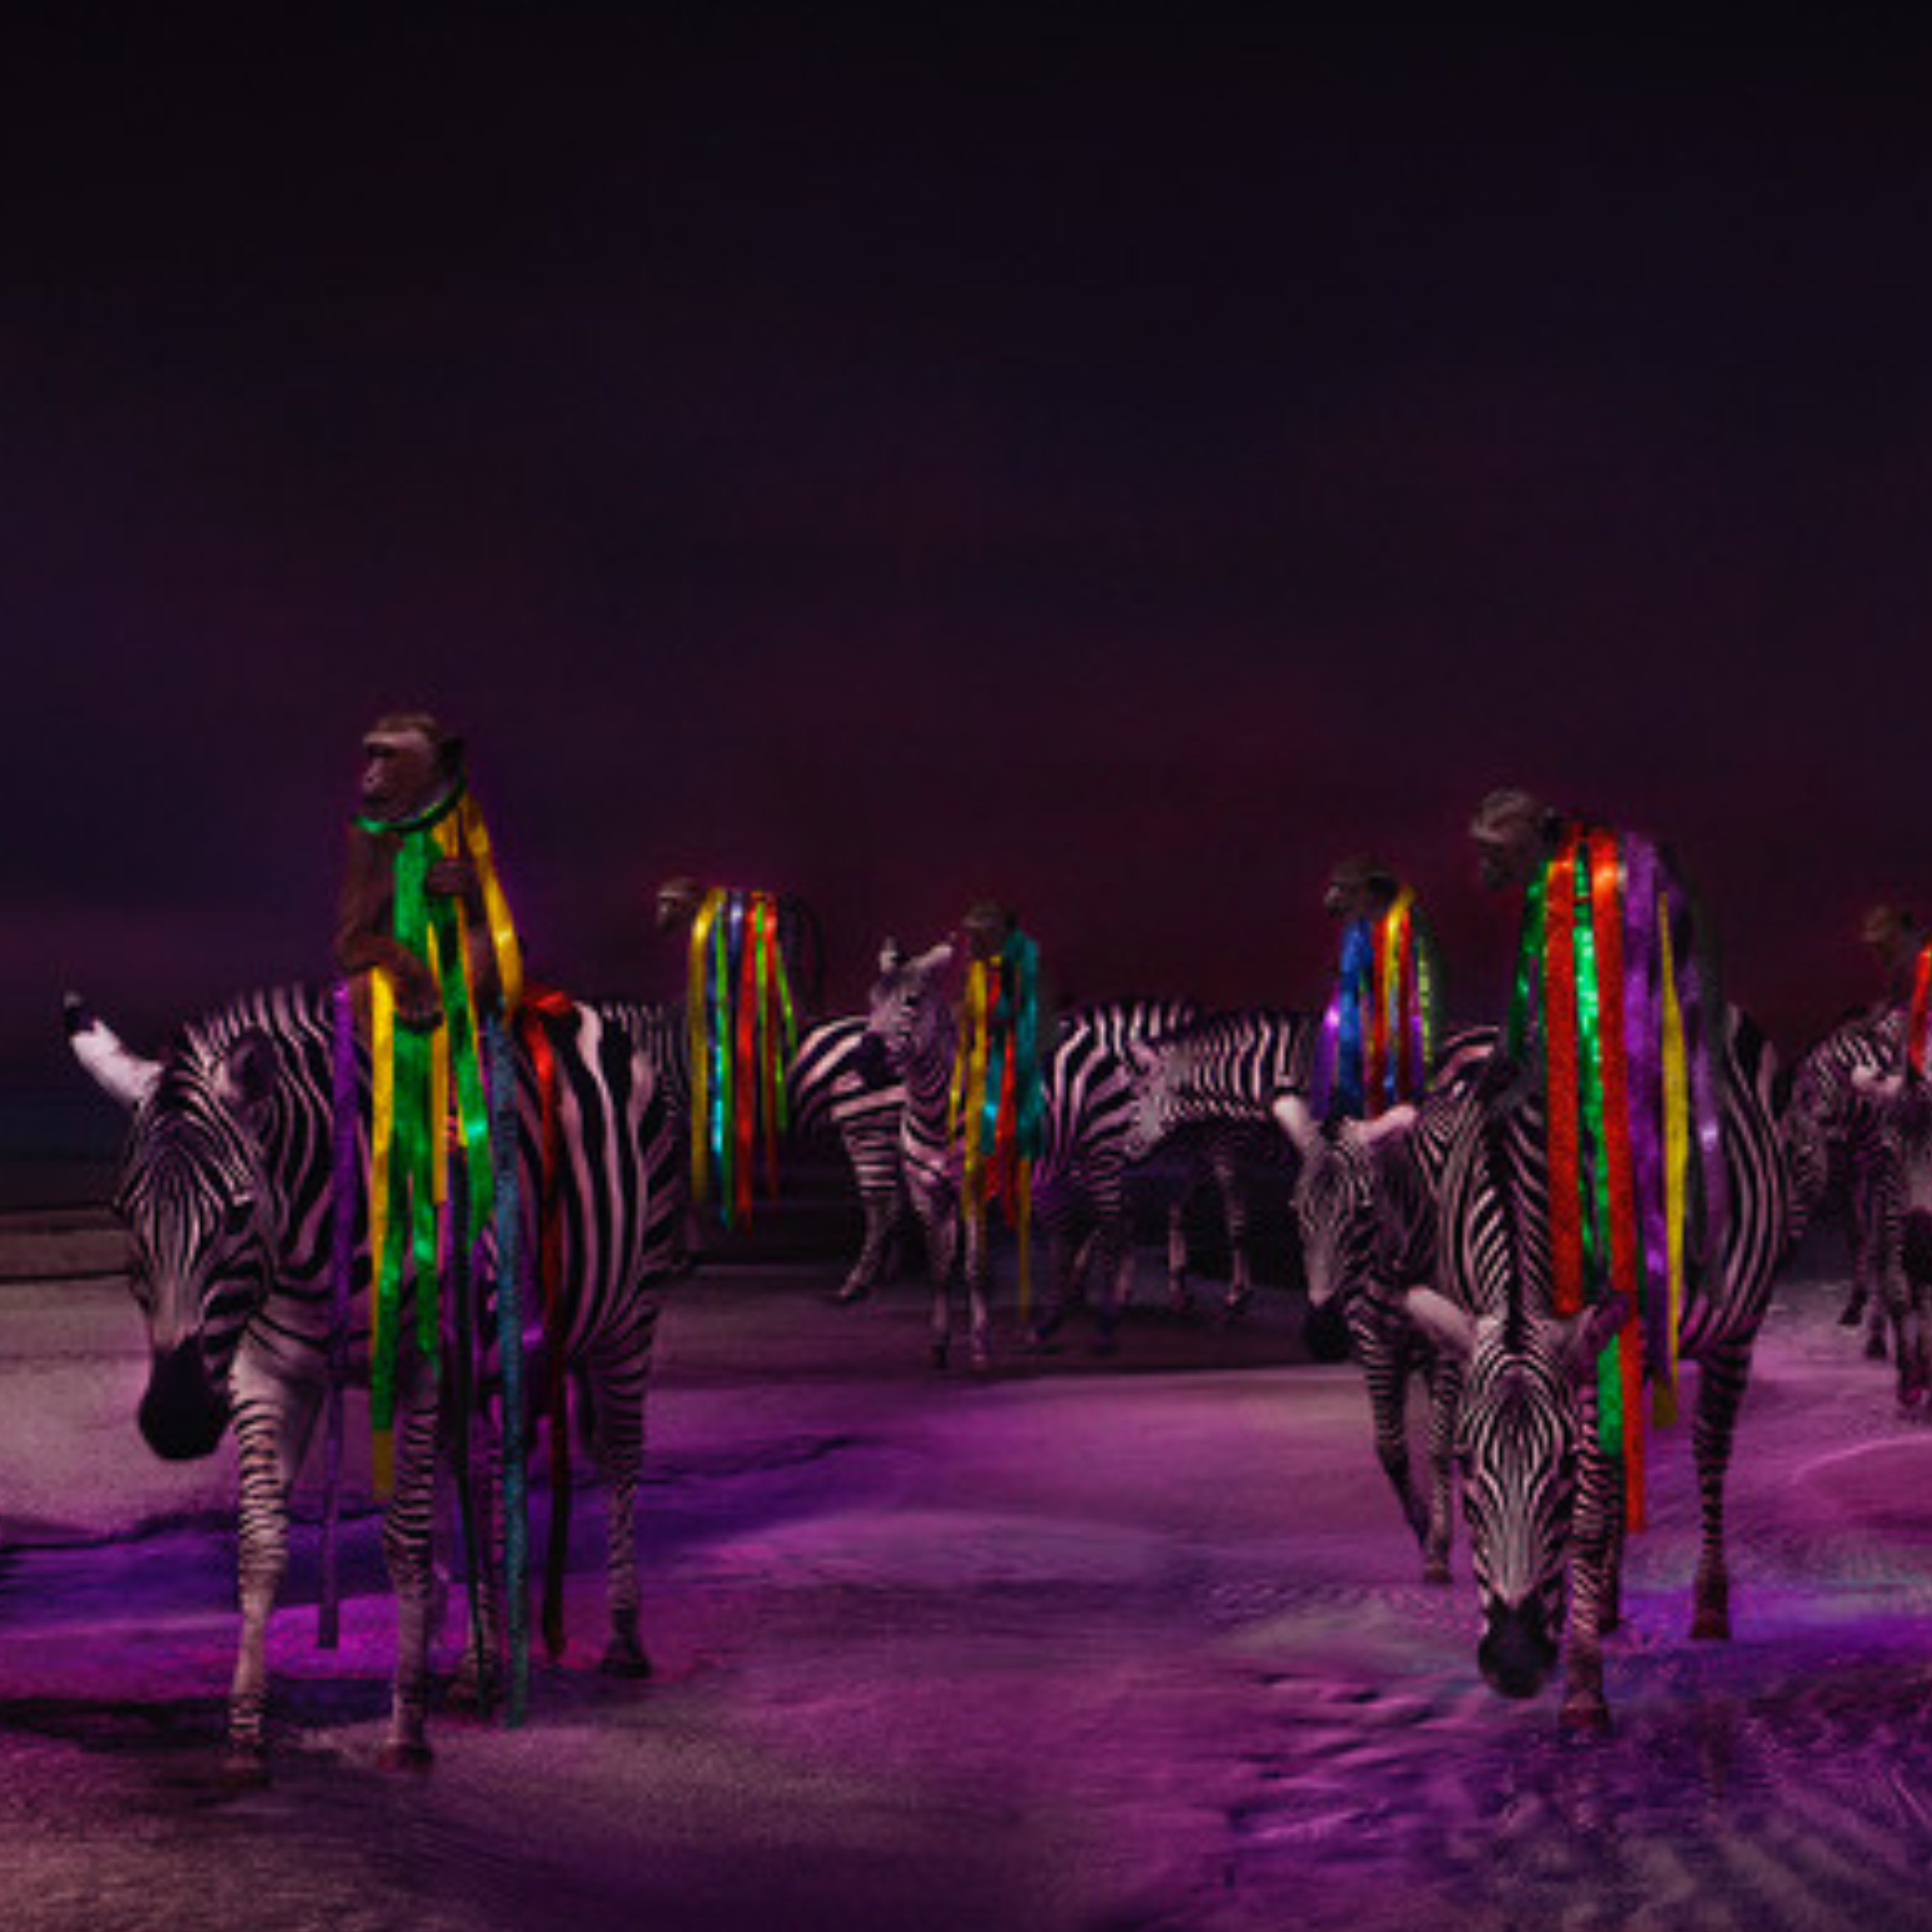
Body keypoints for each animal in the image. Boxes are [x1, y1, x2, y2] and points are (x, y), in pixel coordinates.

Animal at [66, 989, 688, 1770]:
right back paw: (477, 1665)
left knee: (619, 1459)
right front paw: (245, 1732)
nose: (175, 1423)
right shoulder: (265, 1375)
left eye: (239, 1212)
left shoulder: (421, 1367)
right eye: (123, 1214)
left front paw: (405, 1729)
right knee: (485, 1480)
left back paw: (622, 1640)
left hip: (627, 1313)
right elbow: (261, 1549)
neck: (312, 1252)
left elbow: (405, 1541)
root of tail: (575, 1008)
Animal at [1406, 1012, 1793, 1739]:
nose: (1515, 1666)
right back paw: (1608, 1602)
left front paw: (1584, 1688)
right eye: (1469, 1463)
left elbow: (1585, 1515)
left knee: (1709, 1451)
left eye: (1556, 1467)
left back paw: (1708, 1604)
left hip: (1736, 1324)